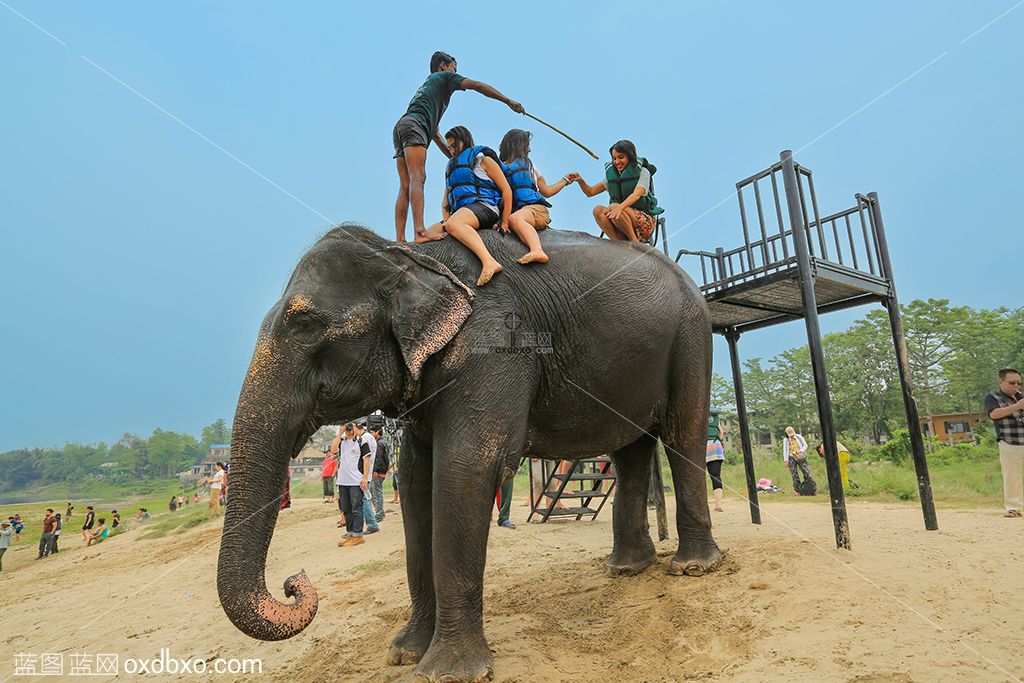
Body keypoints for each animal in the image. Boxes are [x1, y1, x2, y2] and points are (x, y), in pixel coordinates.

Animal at [216, 225, 720, 683]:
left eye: (305, 325)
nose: (294, 582)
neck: (408, 255)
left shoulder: (495, 344)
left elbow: (465, 468)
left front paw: (449, 672)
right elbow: (416, 481)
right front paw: (404, 653)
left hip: (691, 335)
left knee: (682, 433)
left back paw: (694, 568)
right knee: (631, 449)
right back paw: (629, 568)